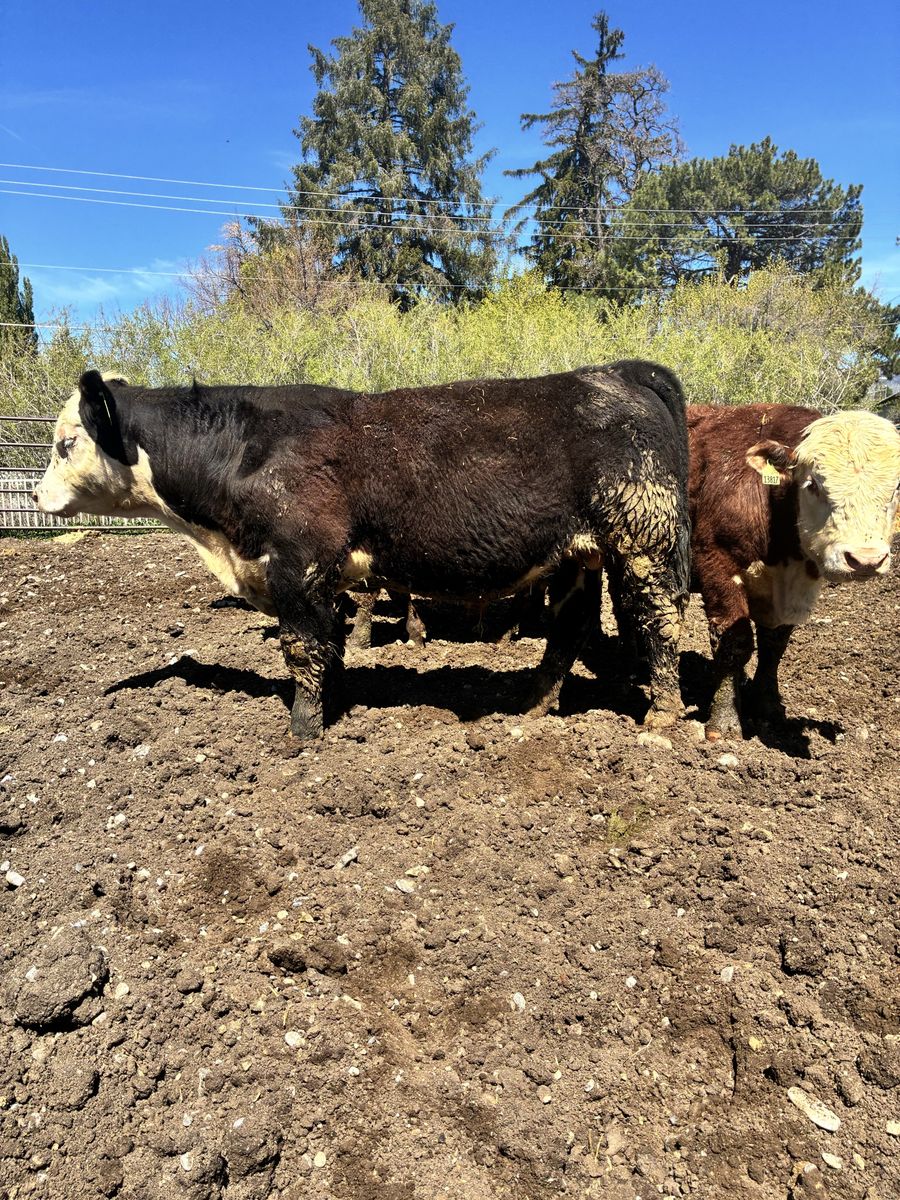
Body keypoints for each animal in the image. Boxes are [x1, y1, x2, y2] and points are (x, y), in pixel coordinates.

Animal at [34, 363, 691, 738]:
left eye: (66, 443)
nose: (37, 497)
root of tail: (617, 373)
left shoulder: (296, 566)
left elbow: (302, 648)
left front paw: (302, 732)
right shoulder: (321, 579)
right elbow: (329, 648)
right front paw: (334, 704)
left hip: (642, 546)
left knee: (658, 624)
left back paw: (661, 719)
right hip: (580, 556)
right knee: (571, 629)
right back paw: (531, 705)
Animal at [688, 403, 900, 738]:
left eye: (895, 489)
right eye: (813, 485)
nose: (865, 560)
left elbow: (774, 648)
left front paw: (769, 708)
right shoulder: (718, 565)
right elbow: (734, 644)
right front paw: (724, 721)